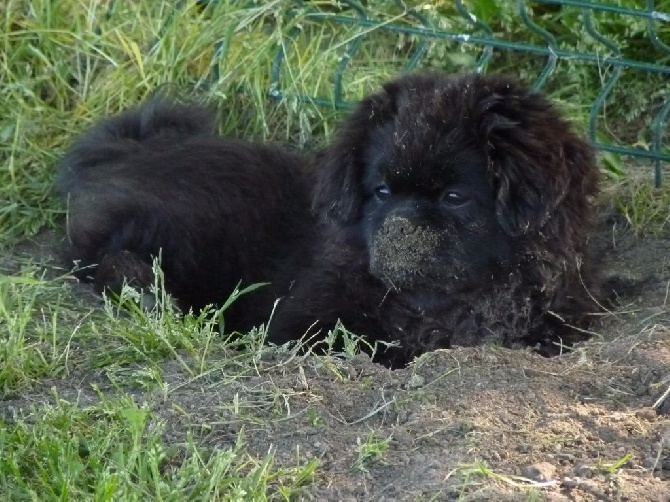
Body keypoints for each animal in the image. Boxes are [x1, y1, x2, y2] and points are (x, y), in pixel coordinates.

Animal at [57, 72, 601, 367]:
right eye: (381, 192)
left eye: (454, 197)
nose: (398, 227)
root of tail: (130, 150)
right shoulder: (305, 324)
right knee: (100, 258)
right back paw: (144, 293)